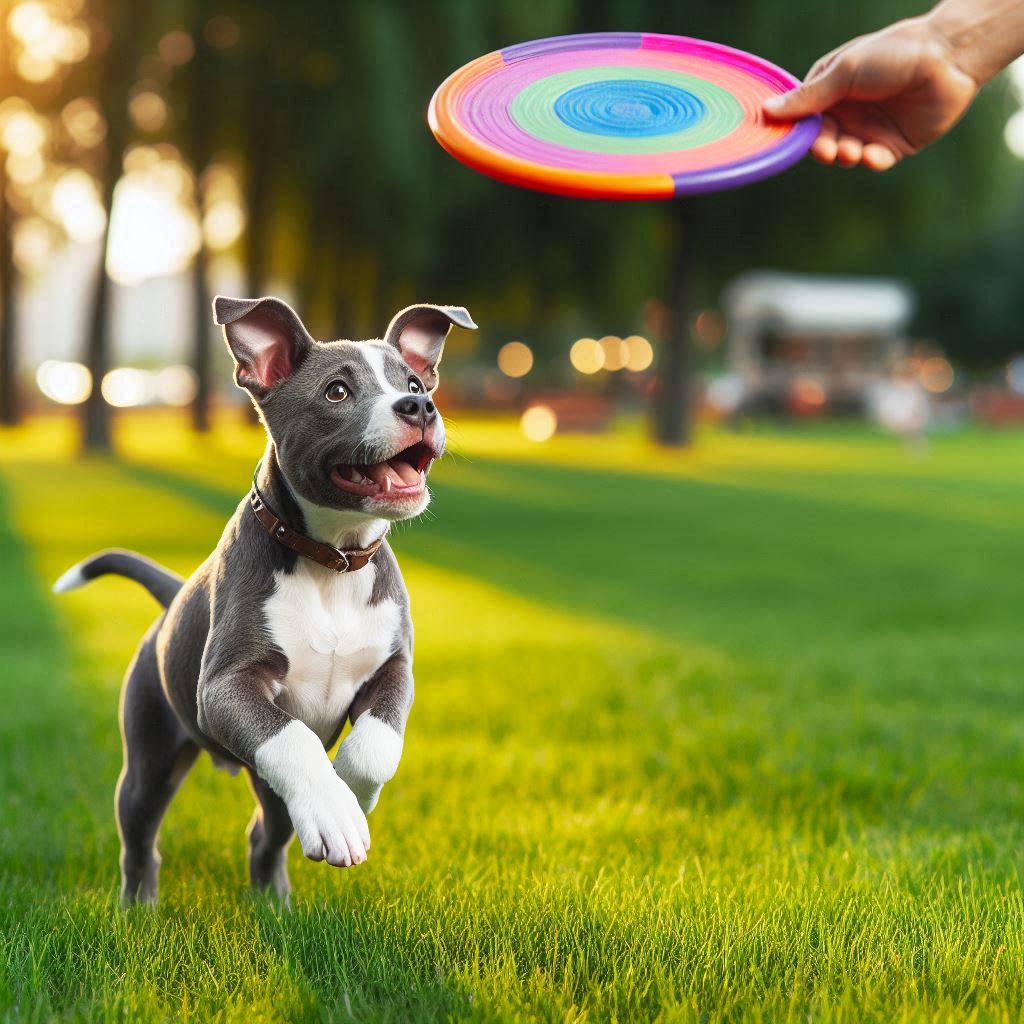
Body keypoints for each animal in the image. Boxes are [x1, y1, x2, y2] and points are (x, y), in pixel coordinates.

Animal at [52, 294, 475, 905]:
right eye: (337, 391)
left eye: (416, 381)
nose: (419, 406)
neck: (332, 560)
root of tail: (172, 599)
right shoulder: (226, 687)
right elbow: (293, 739)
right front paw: (337, 811)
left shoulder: (393, 669)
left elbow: (375, 745)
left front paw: (348, 795)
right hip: (150, 758)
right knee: (140, 838)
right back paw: (138, 908)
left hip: (262, 786)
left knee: (265, 832)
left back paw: (275, 905)